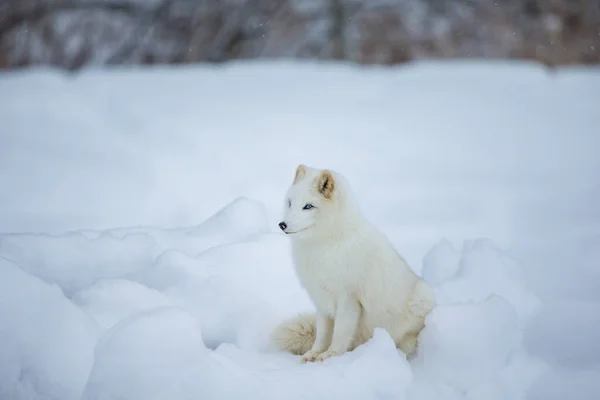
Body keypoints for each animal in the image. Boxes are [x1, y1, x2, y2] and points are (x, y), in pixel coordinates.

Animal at [274, 163, 436, 362]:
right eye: (290, 202)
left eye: (308, 206)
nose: (282, 225)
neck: (327, 244)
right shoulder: (321, 299)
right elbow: (322, 334)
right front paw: (314, 354)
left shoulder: (348, 299)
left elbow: (340, 333)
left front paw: (331, 356)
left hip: (423, 296)